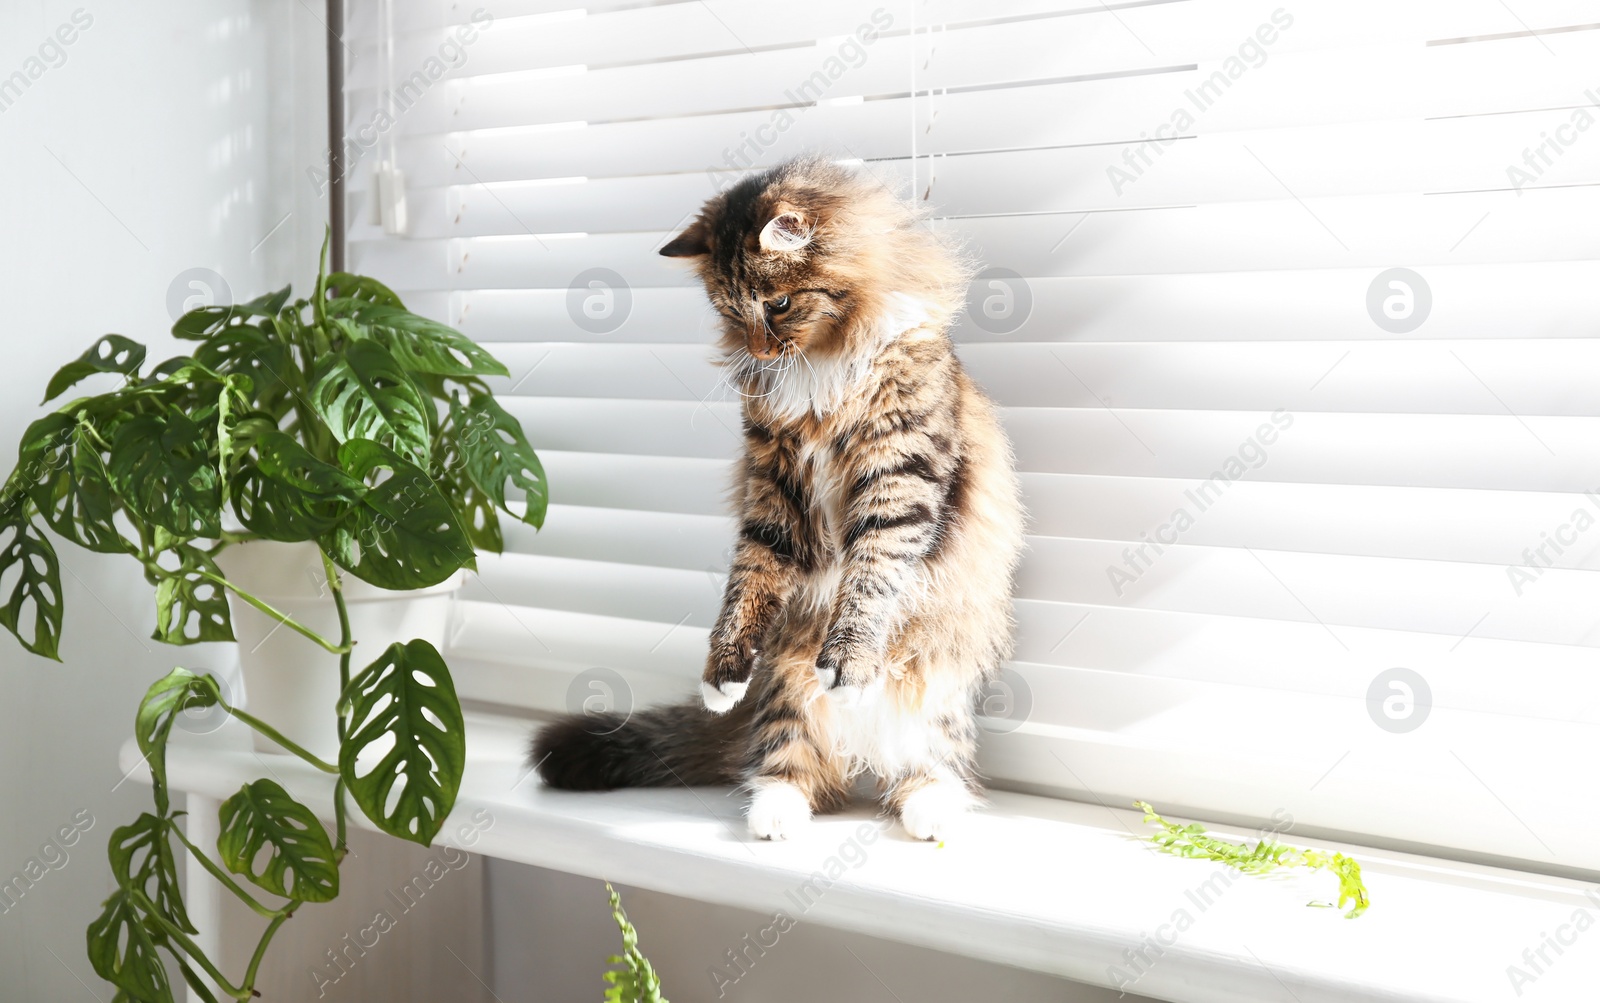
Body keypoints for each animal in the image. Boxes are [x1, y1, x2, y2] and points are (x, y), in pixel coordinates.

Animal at [528, 156, 1024, 844]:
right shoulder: (773, 490)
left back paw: (929, 810)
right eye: (732, 312)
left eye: (779, 304)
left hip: (938, 693)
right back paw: (774, 814)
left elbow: (870, 579)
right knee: (787, 759)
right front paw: (722, 675)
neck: (821, 368)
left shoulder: (899, 476)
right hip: (785, 684)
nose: (759, 350)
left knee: (924, 766)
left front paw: (846, 665)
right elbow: (749, 580)